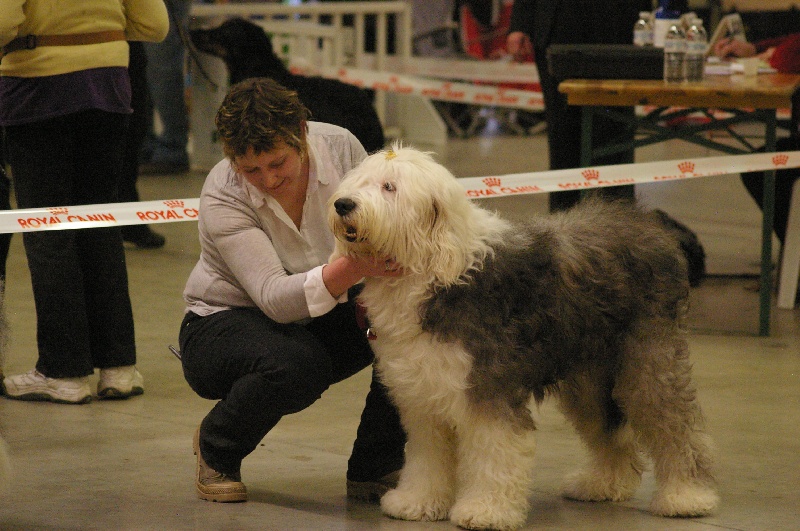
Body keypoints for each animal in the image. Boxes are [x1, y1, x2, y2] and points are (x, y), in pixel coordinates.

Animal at [330, 143, 720, 528]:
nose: (343, 204)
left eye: (389, 187)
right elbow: (427, 454)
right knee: (609, 430)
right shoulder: (425, 395)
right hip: (589, 376)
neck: (434, 268)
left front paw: (486, 510)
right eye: (359, 181)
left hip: (649, 359)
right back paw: (602, 484)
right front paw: (418, 501)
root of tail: (649, 223)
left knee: (674, 426)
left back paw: (687, 496)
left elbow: (494, 451)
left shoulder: (489, 387)